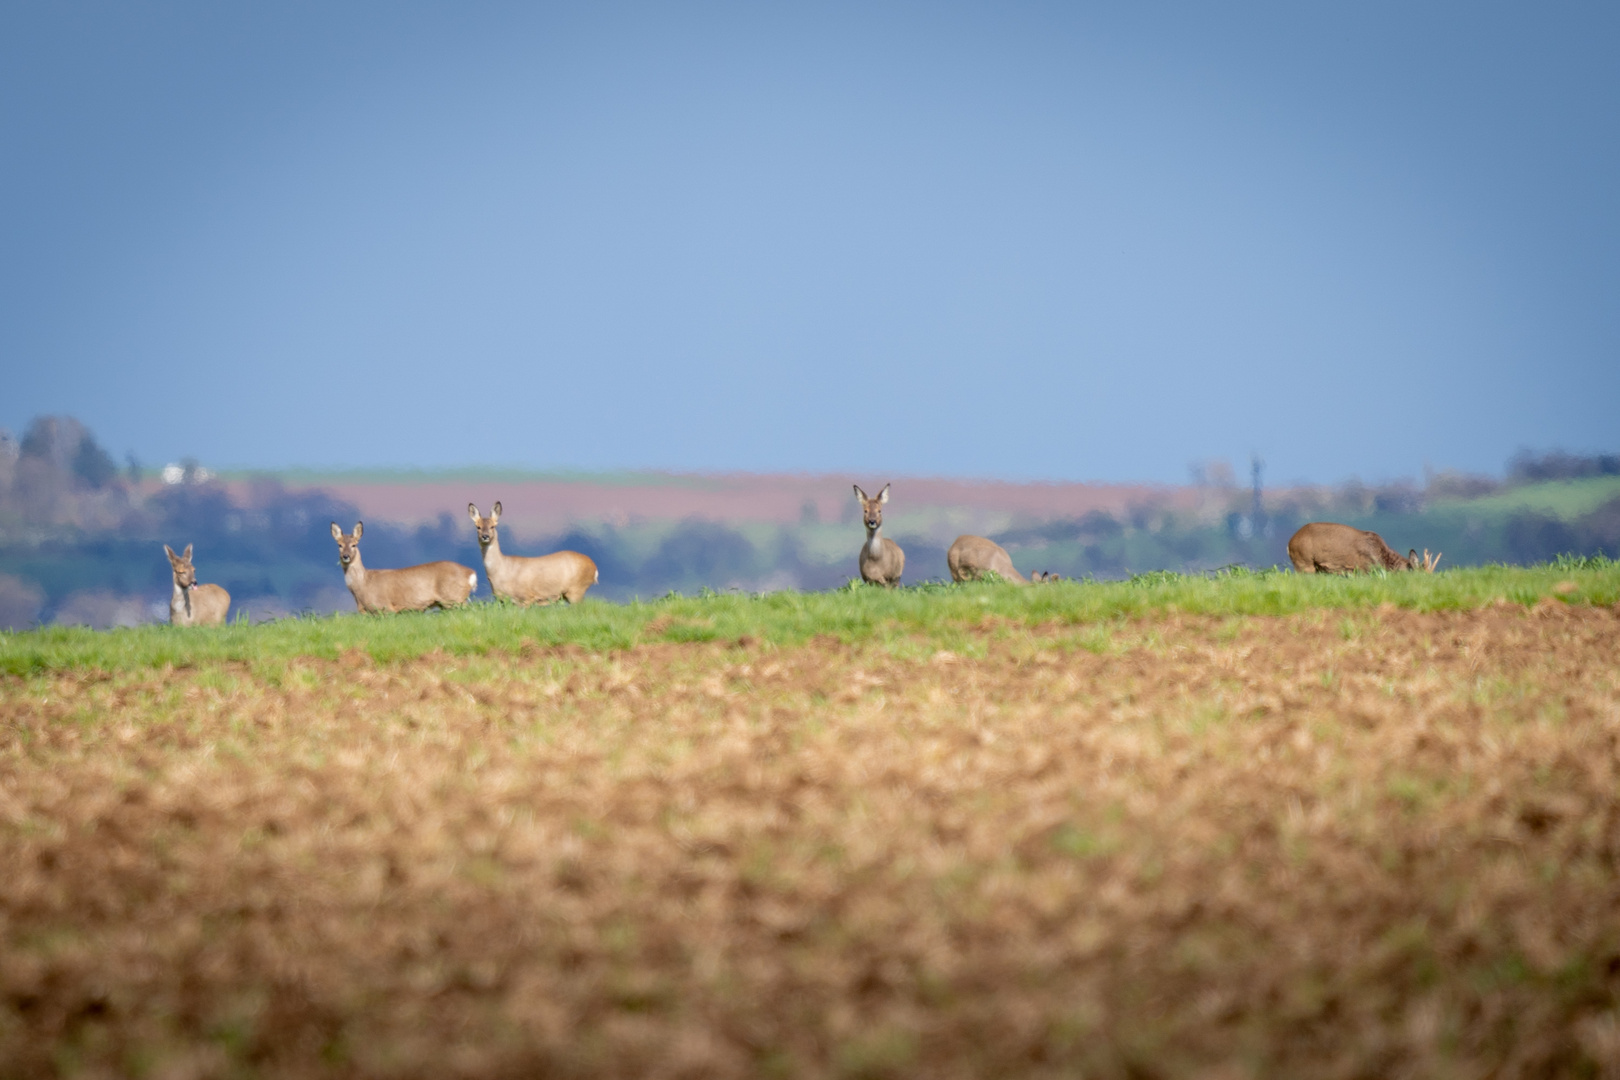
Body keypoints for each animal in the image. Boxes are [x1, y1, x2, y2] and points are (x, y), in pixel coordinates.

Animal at [330, 524, 476, 615]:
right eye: (339, 545)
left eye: (354, 545)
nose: (346, 556)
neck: (362, 585)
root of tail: (471, 574)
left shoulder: (385, 608)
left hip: (454, 599)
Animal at [466, 501, 599, 605]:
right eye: (478, 527)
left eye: (493, 526)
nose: (485, 536)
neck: (500, 572)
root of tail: (594, 568)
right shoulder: (502, 600)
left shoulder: (526, 597)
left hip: (576, 590)